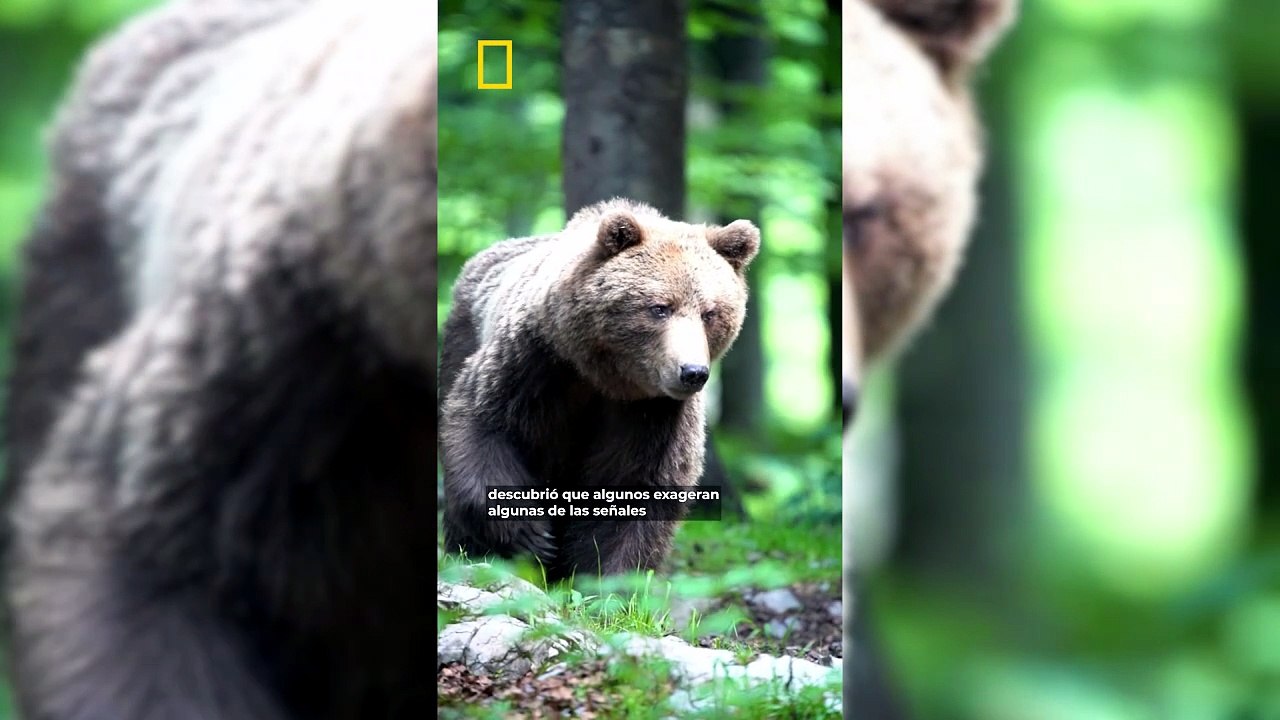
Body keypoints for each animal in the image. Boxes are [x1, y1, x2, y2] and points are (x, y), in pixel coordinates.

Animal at [440, 198, 760, 583]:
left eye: (710, 313)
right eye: (659, 307)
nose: (692, 372)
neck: (602, 377)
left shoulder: (651, 411)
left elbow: (636, 485)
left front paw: (609, 580)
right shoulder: (535, 362)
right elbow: (485, 424)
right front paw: (531, 535)